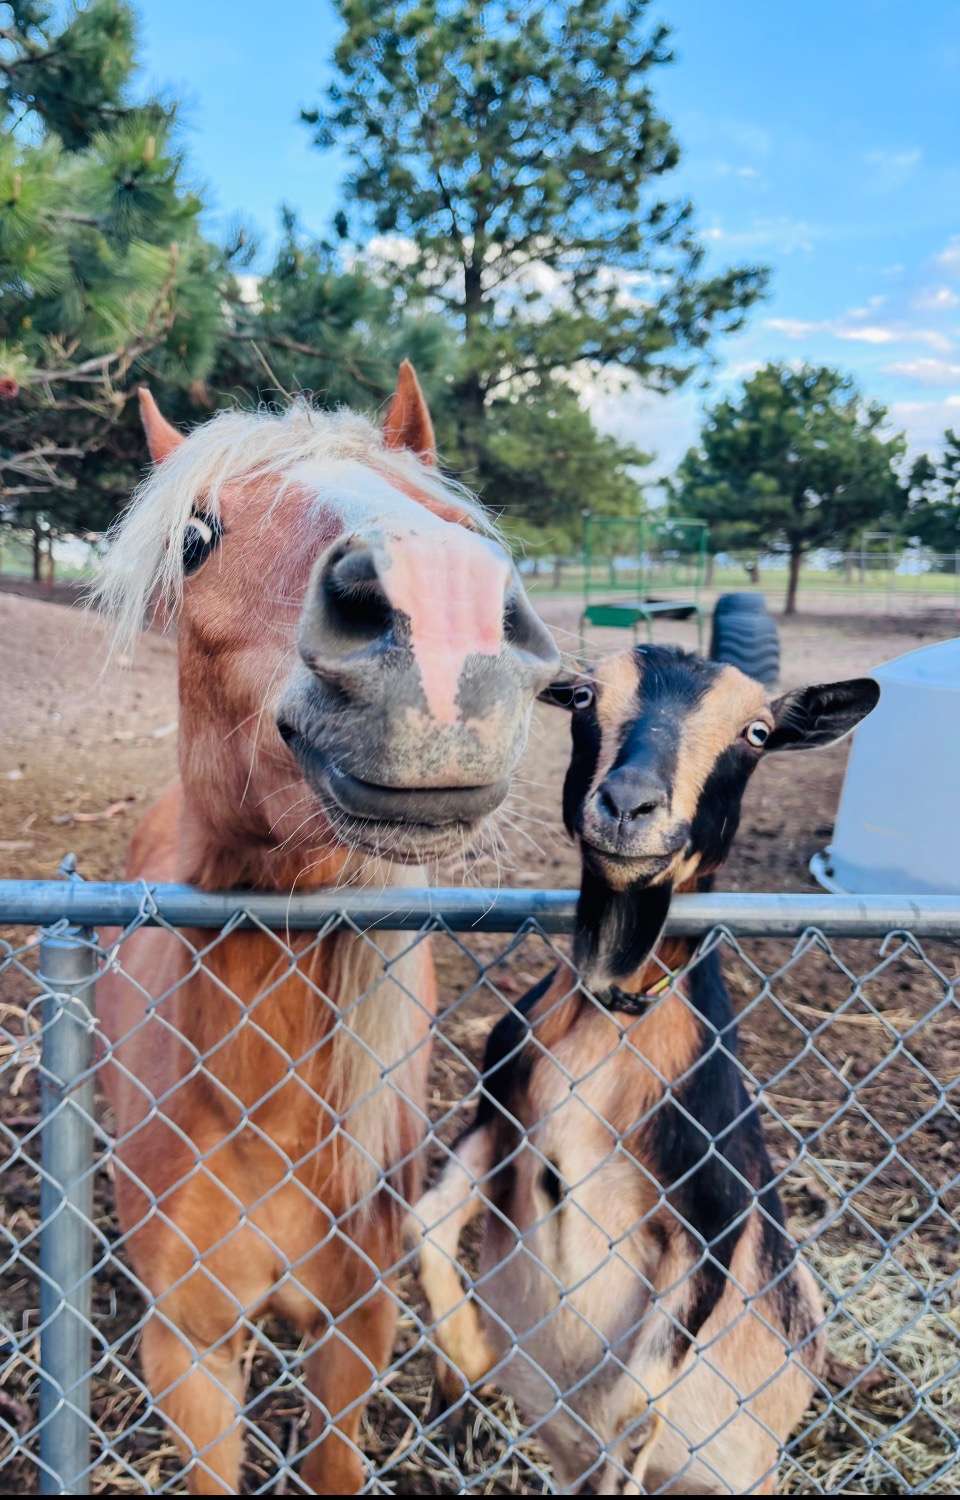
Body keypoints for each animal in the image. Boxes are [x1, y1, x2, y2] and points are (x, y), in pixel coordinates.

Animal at [94, 363, 560, 1494]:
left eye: (447, 512)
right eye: (196, 537)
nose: (441, 606)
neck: (262, 1116)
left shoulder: (356, 1328)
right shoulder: (189, 1352)